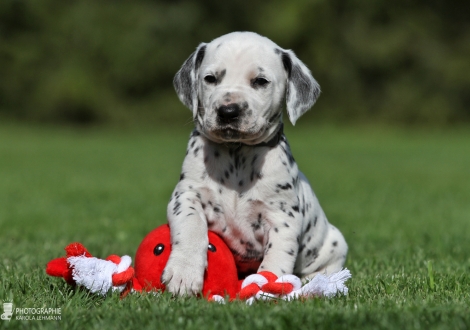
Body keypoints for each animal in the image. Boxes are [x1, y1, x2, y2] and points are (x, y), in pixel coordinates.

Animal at [163, 31, 346, 296]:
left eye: (260, 81)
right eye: (210, 79)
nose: (228, 111)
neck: (236, 152)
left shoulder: (282, 218)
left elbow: (276, 260)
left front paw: (267, 290)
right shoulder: (186, 195)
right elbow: (190, 227)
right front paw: (183, 272)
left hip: (335, 244)